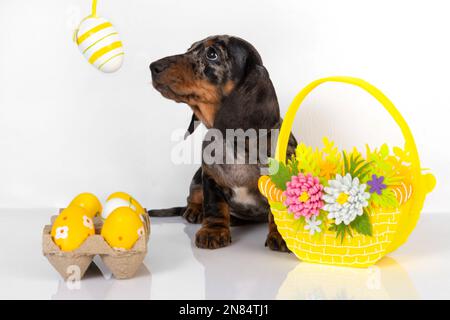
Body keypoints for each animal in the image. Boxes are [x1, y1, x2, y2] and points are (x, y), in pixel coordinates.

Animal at [149, 34, 298, 250]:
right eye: (189, 48)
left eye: (212, 54)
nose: (153, 67)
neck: (233, 142)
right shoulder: (211, 180)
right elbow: (215, 208)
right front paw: (213, 231)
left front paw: (283, 235)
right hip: (197, 177)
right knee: (192, 197)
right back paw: (195, 210)